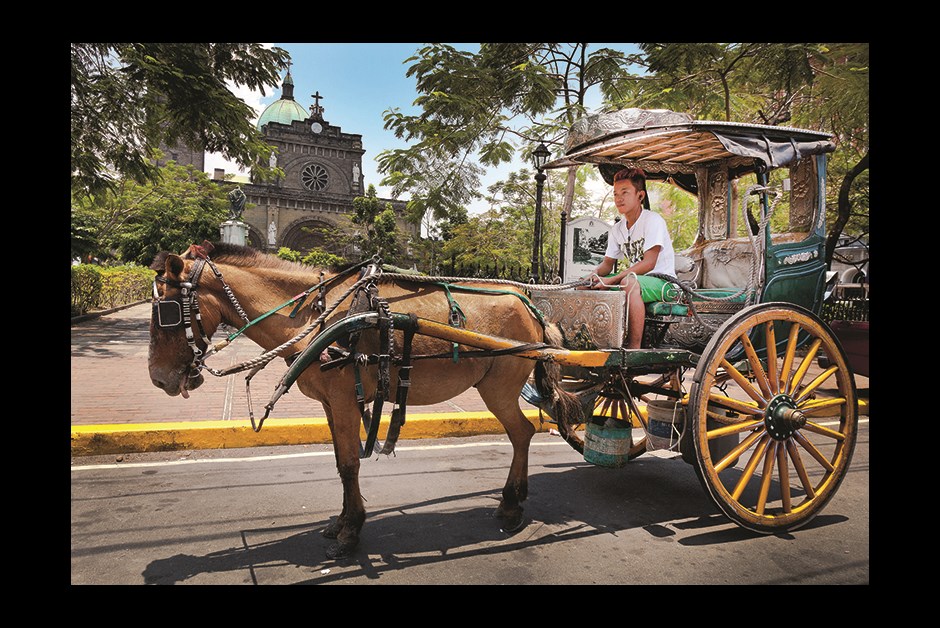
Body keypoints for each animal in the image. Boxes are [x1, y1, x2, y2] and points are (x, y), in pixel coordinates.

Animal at [148, 242, 580, 560]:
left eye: (165, 310)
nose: (158, 378)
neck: (314, 317)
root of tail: (531, 306)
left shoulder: (342, 400)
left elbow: (349, 465)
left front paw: (351, 532)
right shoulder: (330, 402)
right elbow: (341, 462)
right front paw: (341, 523)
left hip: (499, 388)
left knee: (522, 432)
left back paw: (511, 505)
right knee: (522, 433)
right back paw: (513, 500)